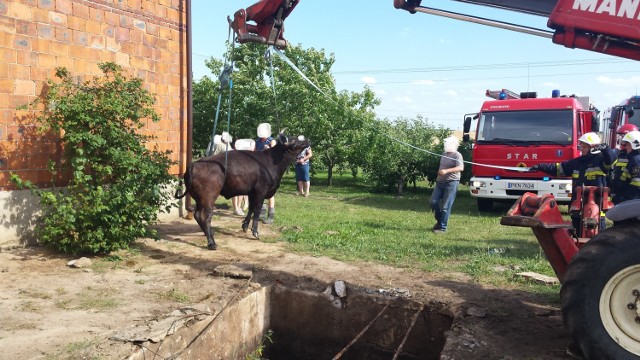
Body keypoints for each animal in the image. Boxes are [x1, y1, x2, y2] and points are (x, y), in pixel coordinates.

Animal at [175, 133, 310, 250]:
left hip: (199, 198)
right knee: (205, 216)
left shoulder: (251, 192)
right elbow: (257, 210)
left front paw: (245, 226)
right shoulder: (261, 191)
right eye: (294, 141)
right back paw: (212, 243)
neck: (271, 162)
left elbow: (250, 209)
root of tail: (195, 163)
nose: (308, 140)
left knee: (197, 215)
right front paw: (255, 232)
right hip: (209, 197)